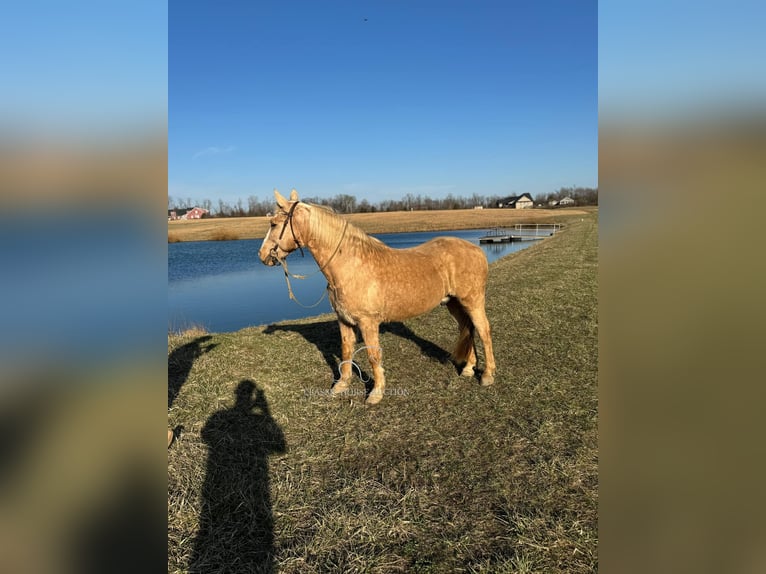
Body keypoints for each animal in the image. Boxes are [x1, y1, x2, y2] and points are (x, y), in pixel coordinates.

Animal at [260, 189, 498, 404]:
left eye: (273, 224)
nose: (262, 256)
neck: (352, 265)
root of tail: (476, 250)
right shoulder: (344, 320)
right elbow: (346, 350)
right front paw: (341, 385)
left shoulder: (368, 322)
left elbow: (373, 355)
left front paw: (376, 393)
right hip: (454, 304)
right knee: (467, 328)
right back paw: (468, 368)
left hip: (473, 301)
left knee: (483, 331)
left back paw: (487, 375)